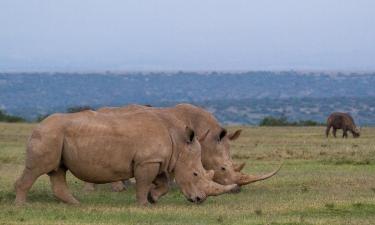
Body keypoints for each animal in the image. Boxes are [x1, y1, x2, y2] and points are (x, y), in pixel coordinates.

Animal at [16, 109, 238, 206]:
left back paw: (76, 204)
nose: (199, 200)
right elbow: (144, 183)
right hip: (48, 135)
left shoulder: (157, 160)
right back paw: (22, 206)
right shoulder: (147, 161)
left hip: (55, 136)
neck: (179, 143)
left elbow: (163, 183)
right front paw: (143, 205)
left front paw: (153, 198)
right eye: (195, 174)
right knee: (38, 169)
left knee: (58, 170)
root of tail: (38, 125)